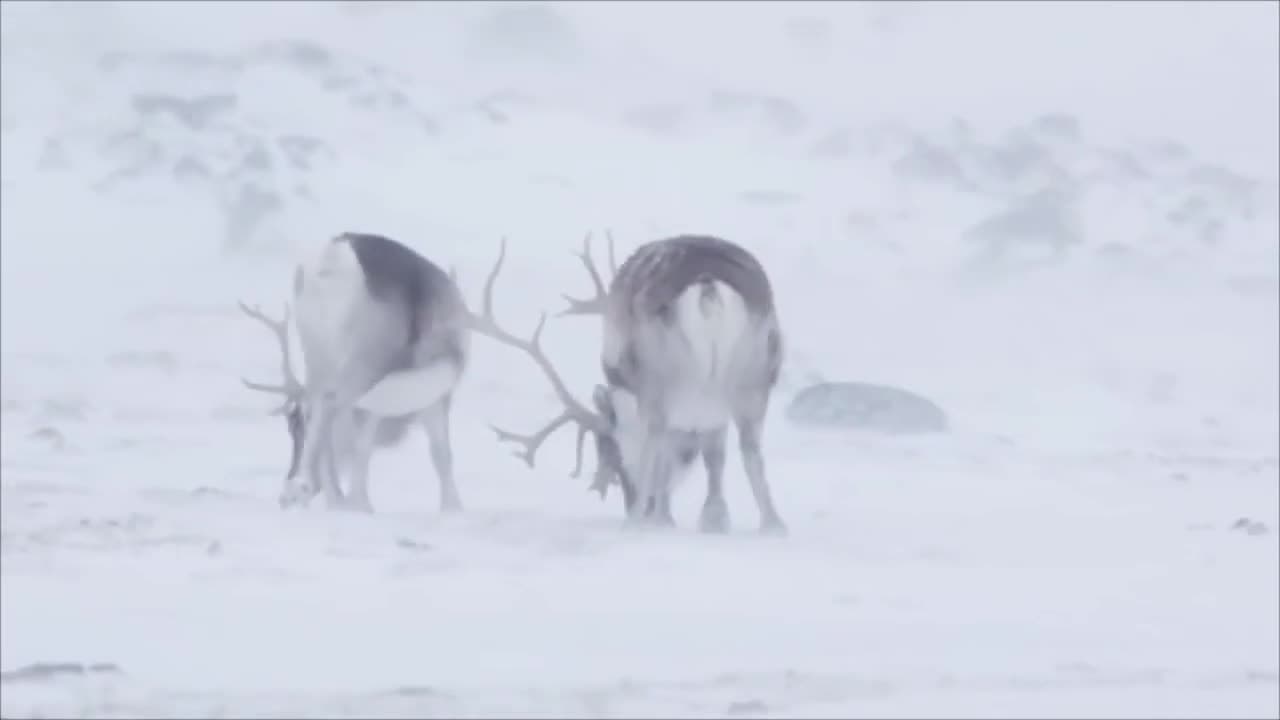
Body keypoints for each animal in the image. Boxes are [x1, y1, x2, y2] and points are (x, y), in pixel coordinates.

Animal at [238, 231, 469, 513]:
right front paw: (453, 507)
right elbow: (440, 453)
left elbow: (363, 445)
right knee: (329, 402)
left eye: (293, 430)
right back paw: (305, 488)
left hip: (319, 356)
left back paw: (325, 494)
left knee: (316, 404)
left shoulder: (372, 405)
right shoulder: (437, 386)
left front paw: (358, 502)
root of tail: (333, 261)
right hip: (365, 363)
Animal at [474, 232, 788, 535]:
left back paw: (637, 523)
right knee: (750, 449)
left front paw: (665, 517)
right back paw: (773, 524)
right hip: (754, 378)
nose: (630, 499)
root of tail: (708, 287)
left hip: (660, 381)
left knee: (656, 440)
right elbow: (714, 456)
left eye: (609, 452)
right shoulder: (710, 413)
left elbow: (667, 457)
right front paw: (713, 519)